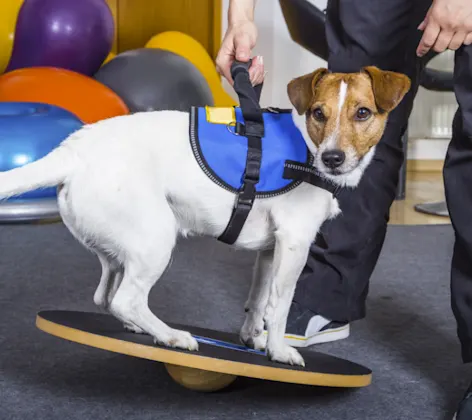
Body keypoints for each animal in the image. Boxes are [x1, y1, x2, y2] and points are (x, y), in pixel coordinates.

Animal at [0, 65, 410, 368]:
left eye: (362, 113)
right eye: (319, 114)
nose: (332, 158)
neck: (307, 148)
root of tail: (73, 150)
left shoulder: (269, 251)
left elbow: (258, 301)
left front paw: (252, 338)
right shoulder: (294, 244)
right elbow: (278, 305)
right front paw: (279, 350)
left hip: (117, 250)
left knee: (107, 296)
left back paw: (142, 327)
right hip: (156, 239)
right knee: (125, 299)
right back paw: (171, 335)